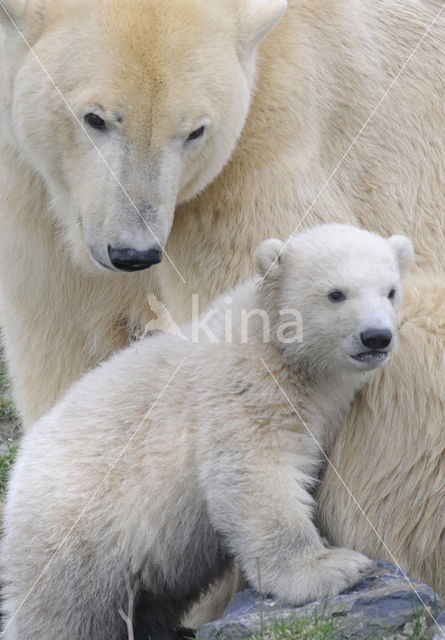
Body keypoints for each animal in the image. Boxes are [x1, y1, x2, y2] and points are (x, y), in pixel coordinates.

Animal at [0, 0, 442, 604]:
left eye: (194, 131)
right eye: (95, 118)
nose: (134, 252)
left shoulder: (266, 147)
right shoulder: (37, 208)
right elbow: (71, 358)